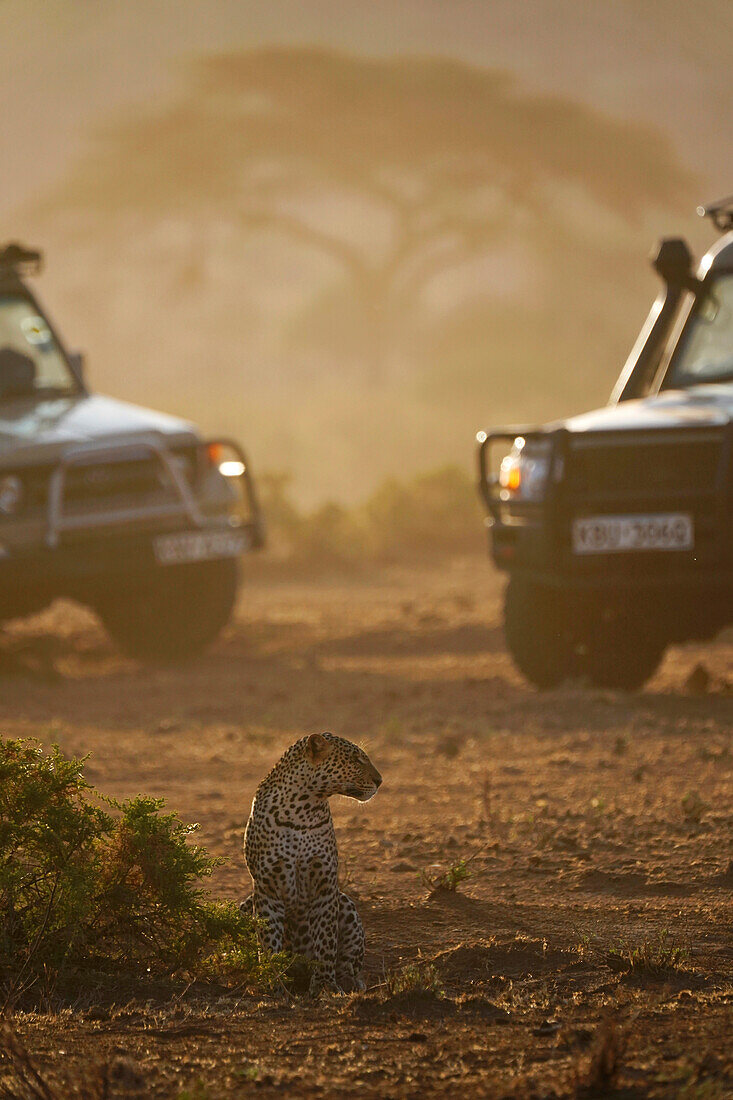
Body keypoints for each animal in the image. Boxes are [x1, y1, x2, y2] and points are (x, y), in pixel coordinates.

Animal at [244, 730, 383, 998]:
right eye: (355, 759)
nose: (380, 780)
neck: (302, 809)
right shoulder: (266, 887)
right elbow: (268, 942)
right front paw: (273, 983)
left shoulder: (325, 885)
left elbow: (326, 941)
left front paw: (325, 985)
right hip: (246, 904)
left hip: (345, 902)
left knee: (349, 963)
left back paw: (349, 982)